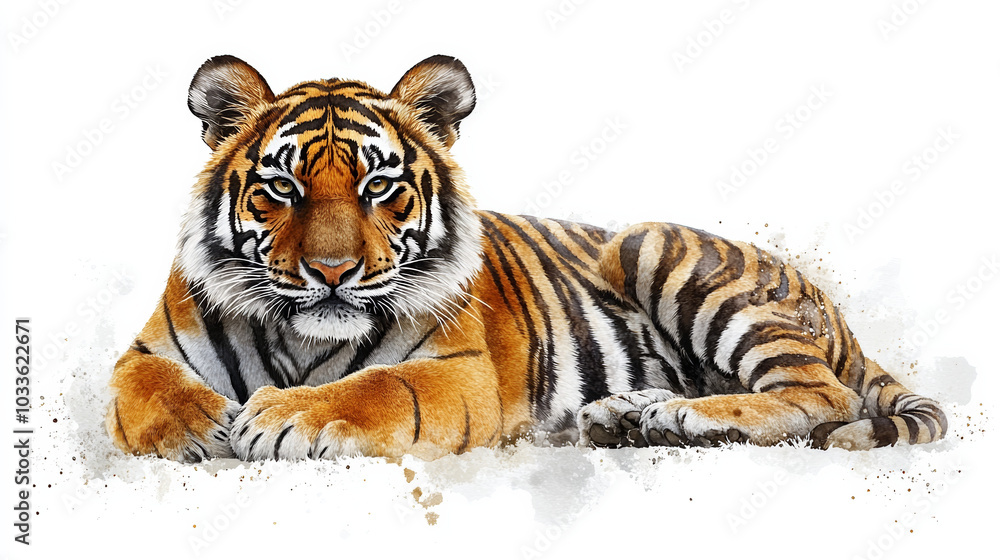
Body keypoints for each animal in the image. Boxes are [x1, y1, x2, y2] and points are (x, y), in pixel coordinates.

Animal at [105, 54, 948, 463]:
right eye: (282, 188)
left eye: (380, 187)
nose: (333, 274)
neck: (299, 338)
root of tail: (830, 304)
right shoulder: (147, 348)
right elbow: (140, 387)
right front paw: (203, 422)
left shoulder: (457, 372)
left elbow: (375, 388)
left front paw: (280, 416)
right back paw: (632, 417)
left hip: (650, 242)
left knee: (823, 396)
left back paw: (677, 416)